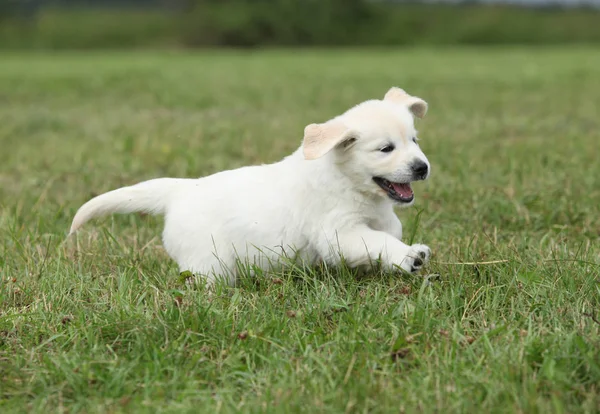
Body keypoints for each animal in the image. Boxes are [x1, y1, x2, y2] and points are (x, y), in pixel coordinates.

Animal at [70, 87, 434, 286]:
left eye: (414, 140)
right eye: (385, 149)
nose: (422, 167)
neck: (347, 181)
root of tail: (181, 191)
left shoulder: (378, 219)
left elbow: (389, 231)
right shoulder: (337, 233)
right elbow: (377, 241)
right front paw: (408, 257)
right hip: (209, 262)